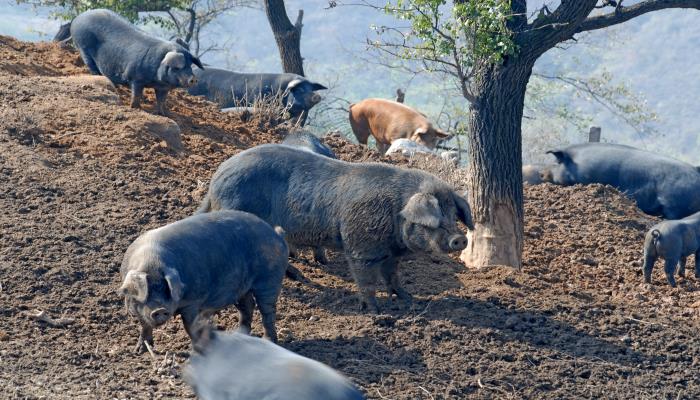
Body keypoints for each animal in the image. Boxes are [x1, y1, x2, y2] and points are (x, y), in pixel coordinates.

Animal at [71, 8, 202, 115]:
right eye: (178, 67)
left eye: (190, 65)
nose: (194, 79)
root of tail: (77, 18)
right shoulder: (135, 77)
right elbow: (136, 93)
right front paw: (136, 108)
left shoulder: (163, 87)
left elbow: (161, 100)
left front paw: (164, 114)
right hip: (83, 46)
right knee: (91, 66)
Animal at [119, 209, 288, 354]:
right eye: (148, 290)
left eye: (165, 288)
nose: (159, 309)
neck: (152, 260)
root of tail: (276, 234)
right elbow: (144, 325)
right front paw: (139, 351)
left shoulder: (192, 302)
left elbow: (189, 326)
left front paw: (199, 352)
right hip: (242, 287)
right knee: (247, 306)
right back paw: (238, 333)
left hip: (269, 279)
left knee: (267, 311)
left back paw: (269, 340)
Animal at [194, 144, 474, 312]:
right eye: (435, 218)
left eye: (453, 215)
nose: (460, 239)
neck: (396, 213)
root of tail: (217, 177)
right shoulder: (360, 246)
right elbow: (366, 280)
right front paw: (375, 312)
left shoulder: (391, 254)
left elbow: (392, 276)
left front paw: (408, 299)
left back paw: (298, 277)